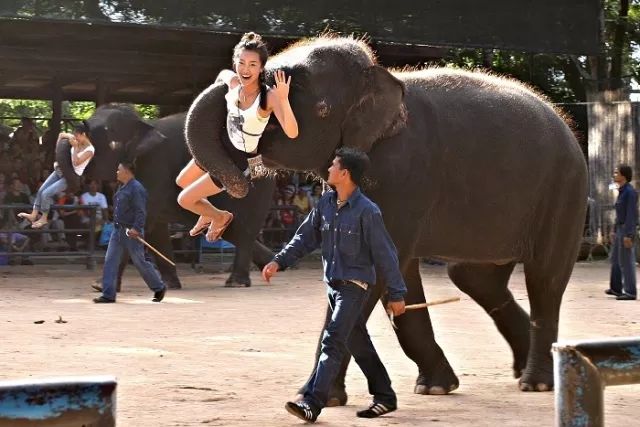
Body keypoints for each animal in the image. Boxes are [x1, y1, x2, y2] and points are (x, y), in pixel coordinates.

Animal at [184, 36, 584, 398]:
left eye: (317, 106)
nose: (221, 214)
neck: (379, 77)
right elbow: (394, 272)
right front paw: (435, 388)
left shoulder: (403, 173)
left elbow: (375, 270)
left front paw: (313, 398)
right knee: (475, 276)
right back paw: (528, 369)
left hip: (563, 191)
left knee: (544, 278)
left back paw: (537, 383)